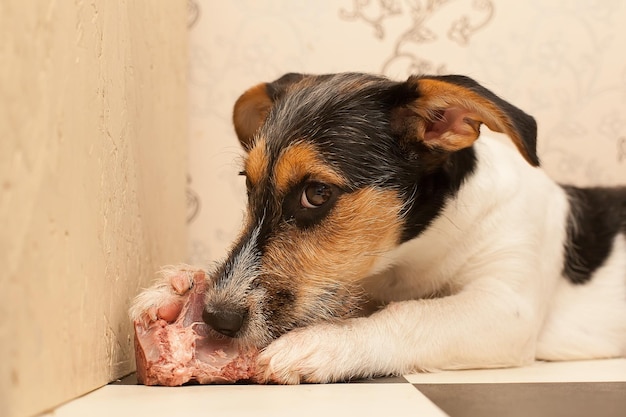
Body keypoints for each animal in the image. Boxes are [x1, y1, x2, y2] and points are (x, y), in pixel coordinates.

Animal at [129, 72, 620, 384]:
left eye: (316, 193)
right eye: (247, 184)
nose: (216, 317)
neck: (414, 255)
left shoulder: (505, 307)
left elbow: (412, 314)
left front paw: (324, 343)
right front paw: (175, 291)